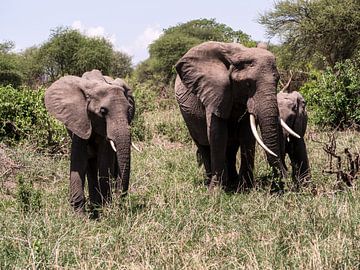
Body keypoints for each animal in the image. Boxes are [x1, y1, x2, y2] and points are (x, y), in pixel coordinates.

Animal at [44, 69, 135, 215]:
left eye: (129, 110)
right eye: (103, 111)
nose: (119, 201)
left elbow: (105, 161)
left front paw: (105, 207)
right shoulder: (79, 119)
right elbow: (79, 160)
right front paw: (79, 215)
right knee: (90, 165)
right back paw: (95, 206)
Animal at [174, 41, 300, 191]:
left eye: (277, 80)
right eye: (247, 84)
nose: (287, 181)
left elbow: (247, 135)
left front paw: (246, 188)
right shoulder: (214, 94)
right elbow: (217, 135)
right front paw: (215, 191)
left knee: (231, 147)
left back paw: (232, 181)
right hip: (187, 116)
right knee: (203, 145)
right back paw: (211, 181)